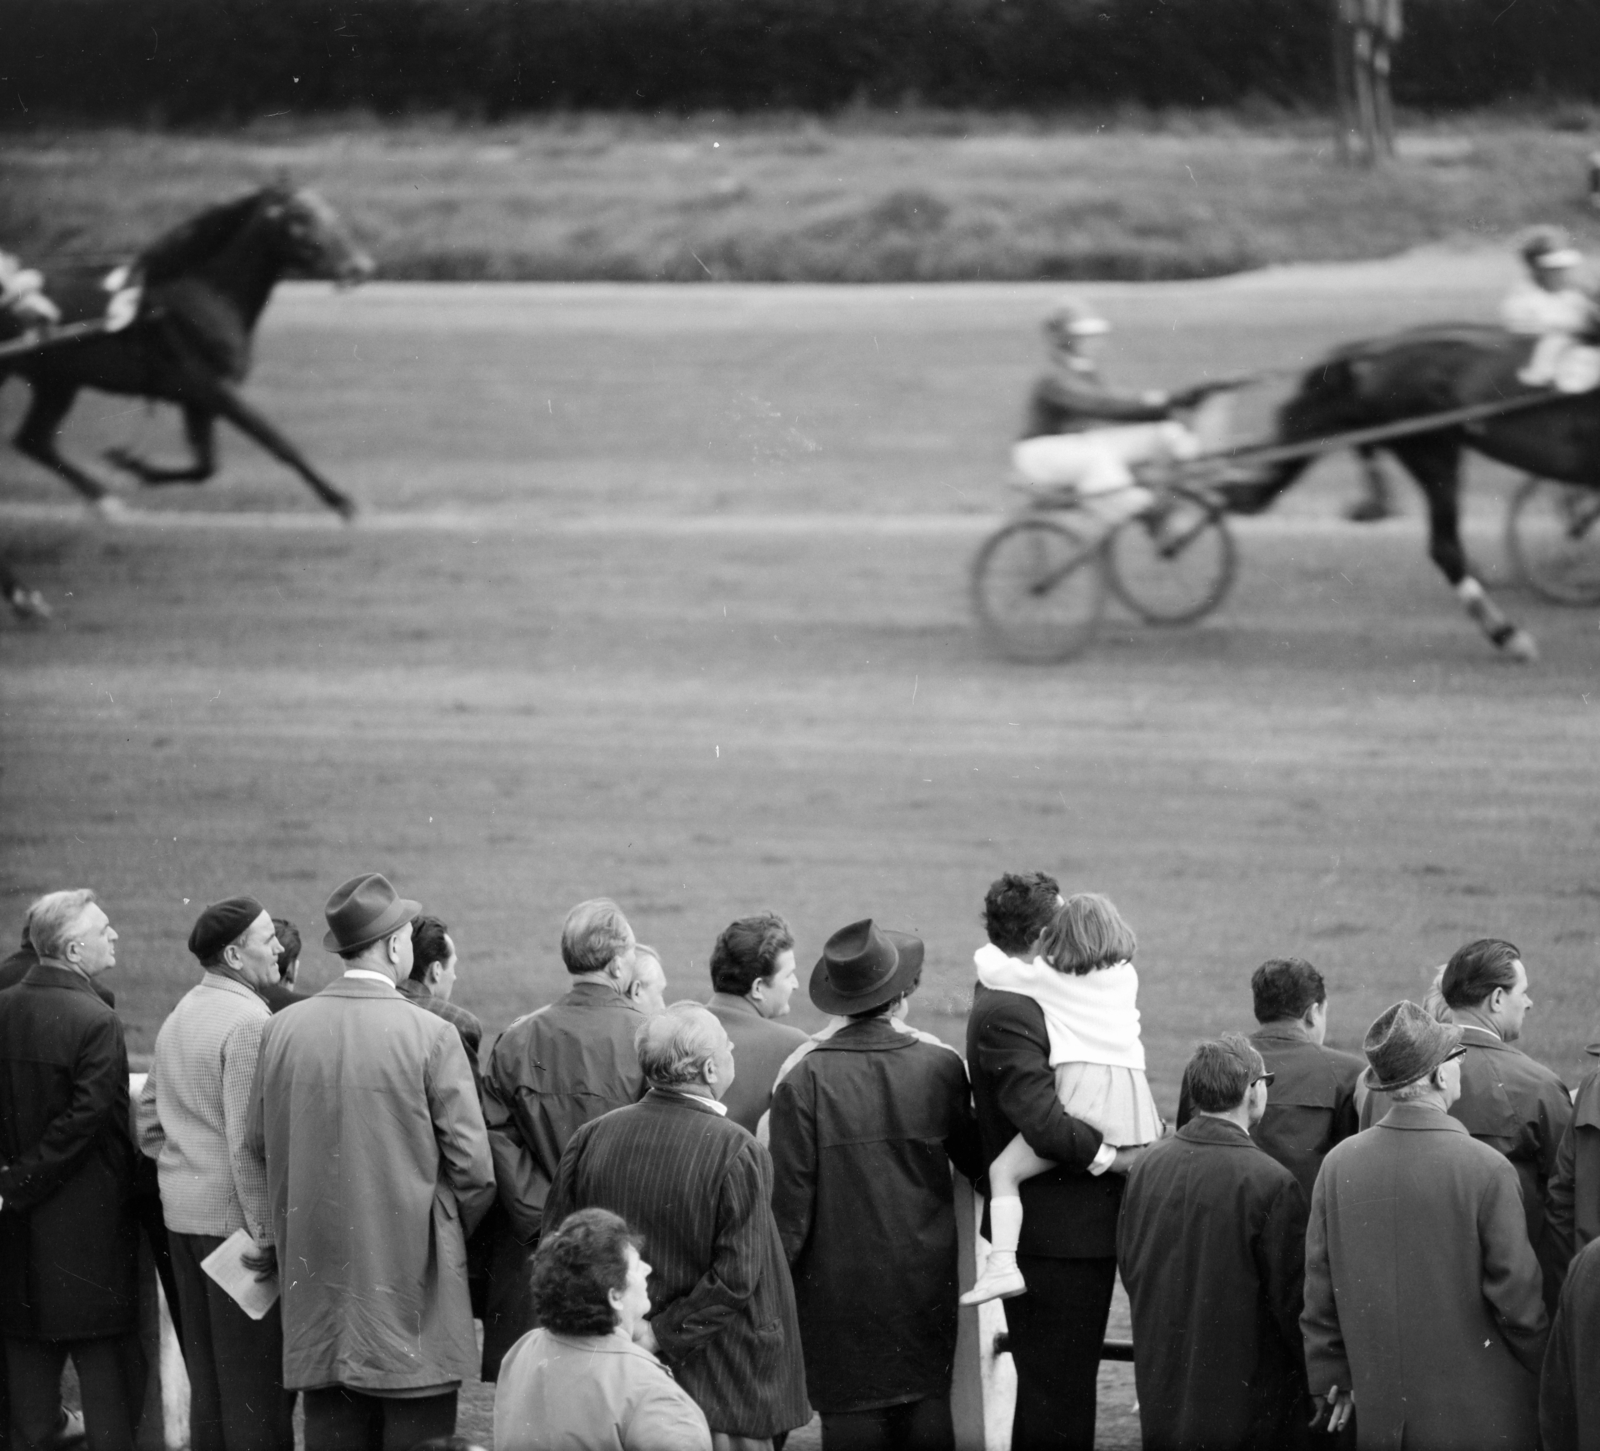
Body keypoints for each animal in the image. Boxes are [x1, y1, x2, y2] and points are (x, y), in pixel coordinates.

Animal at [4, 184, 371, 515]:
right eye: (301, 217)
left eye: (331, 212)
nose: (359, 268)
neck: (205, 296)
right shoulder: (213, 387)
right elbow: (276, 441)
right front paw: (340, 500)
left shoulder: (196, 400)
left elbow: (205, 467)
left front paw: (134, 466)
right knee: (32, 440)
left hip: (57, 383)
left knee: (32, 441)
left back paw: (105, 501)